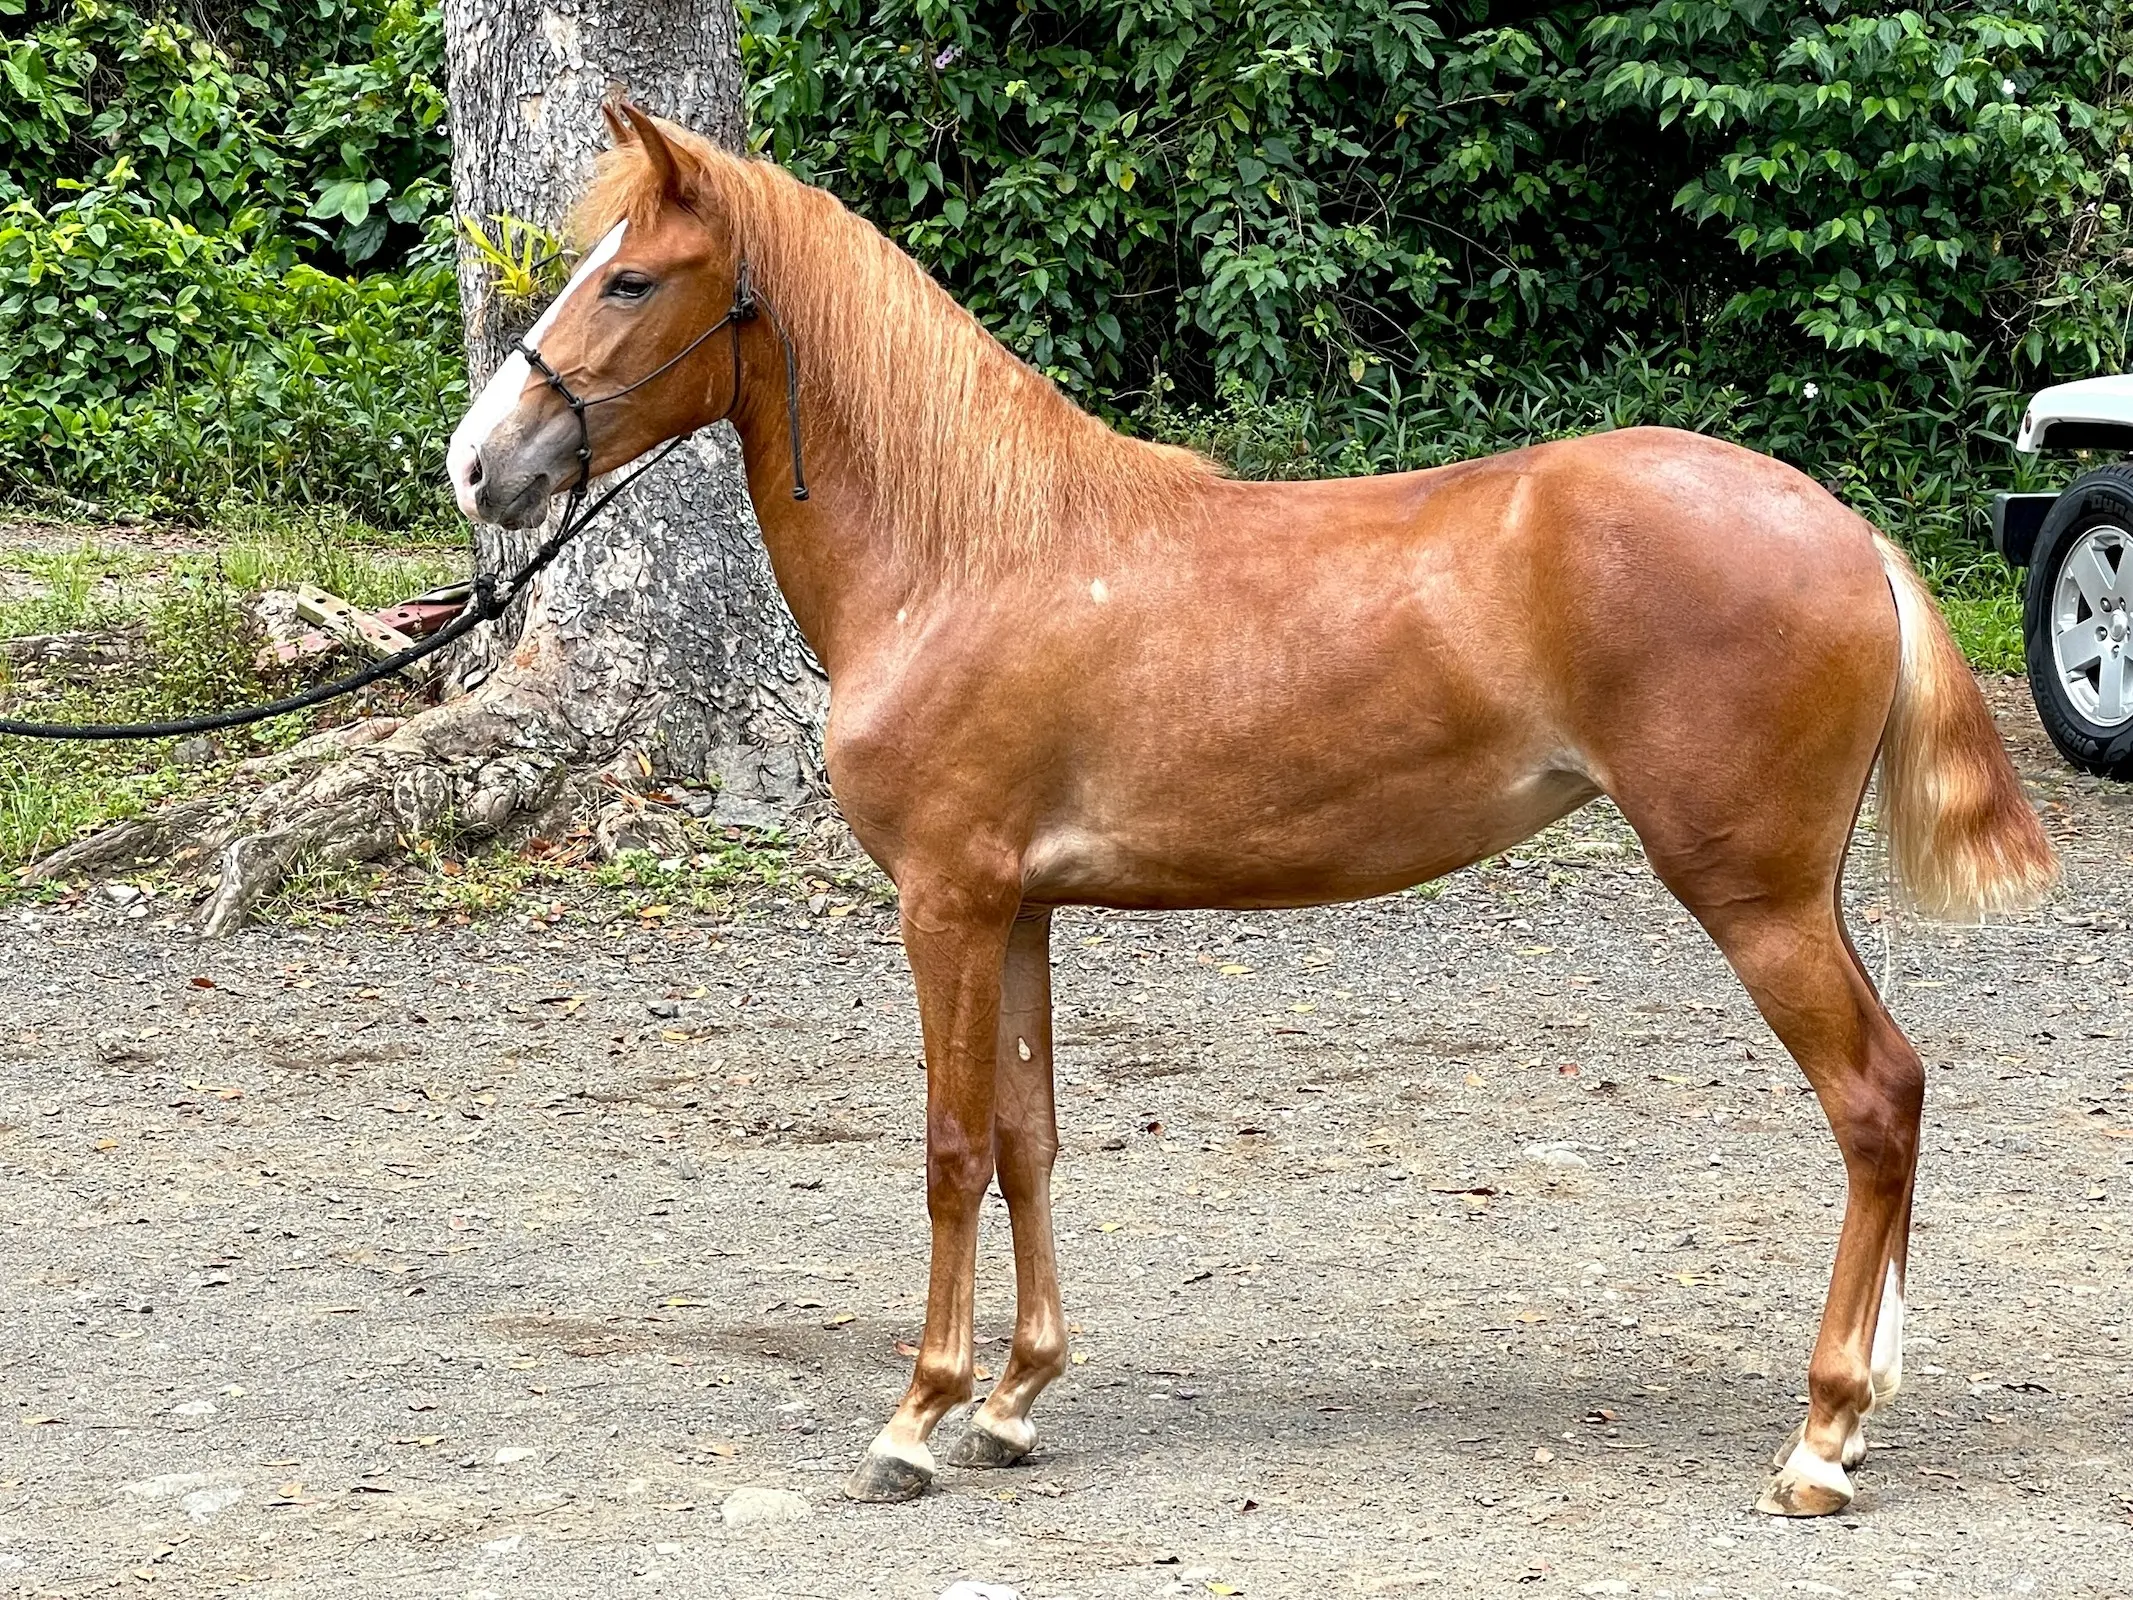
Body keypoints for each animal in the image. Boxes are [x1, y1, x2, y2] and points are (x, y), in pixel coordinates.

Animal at [441, 106, 2056, 1518]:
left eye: (631, 278)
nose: (477, 466)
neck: (965, 552)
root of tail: (1844, 529)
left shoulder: (945, 899)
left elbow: (952, 1147)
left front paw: (917, 1416)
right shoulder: (1017, 907)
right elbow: (1027, 1137)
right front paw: (1015, 1399)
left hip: (1753, 897)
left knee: (1873, 1101)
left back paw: (1822, 1439)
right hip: (1797, 894)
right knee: (1898, 1099)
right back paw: (1862, 1408)